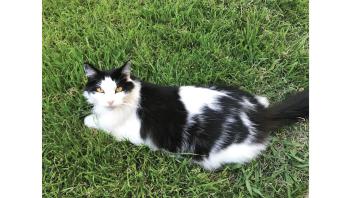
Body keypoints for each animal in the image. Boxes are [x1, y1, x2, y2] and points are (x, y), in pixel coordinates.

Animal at [82, 60, 308, 170]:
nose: (110, 101)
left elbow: (96, 121)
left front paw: (88, 119)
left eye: (119, 89)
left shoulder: (125, 133)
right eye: (100, 90)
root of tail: (258, 115)